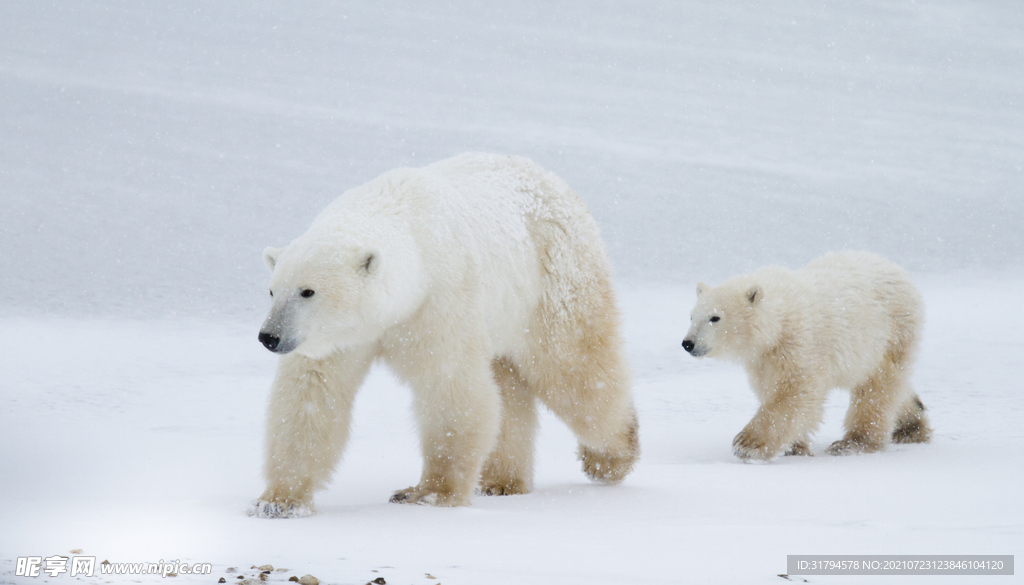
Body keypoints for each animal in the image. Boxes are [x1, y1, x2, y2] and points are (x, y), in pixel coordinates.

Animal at [246, 152, 634, 516]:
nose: (269, 337)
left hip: (554, 279)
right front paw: (277, 501)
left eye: (307, 291)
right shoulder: (340, 338)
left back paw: (611, 457)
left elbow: (448, 386)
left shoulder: (441, 299)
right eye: (272, 290)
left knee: (574, 373)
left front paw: (428, 493)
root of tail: (556, 182)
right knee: (508, 387)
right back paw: (501, 482)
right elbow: (311, 394)